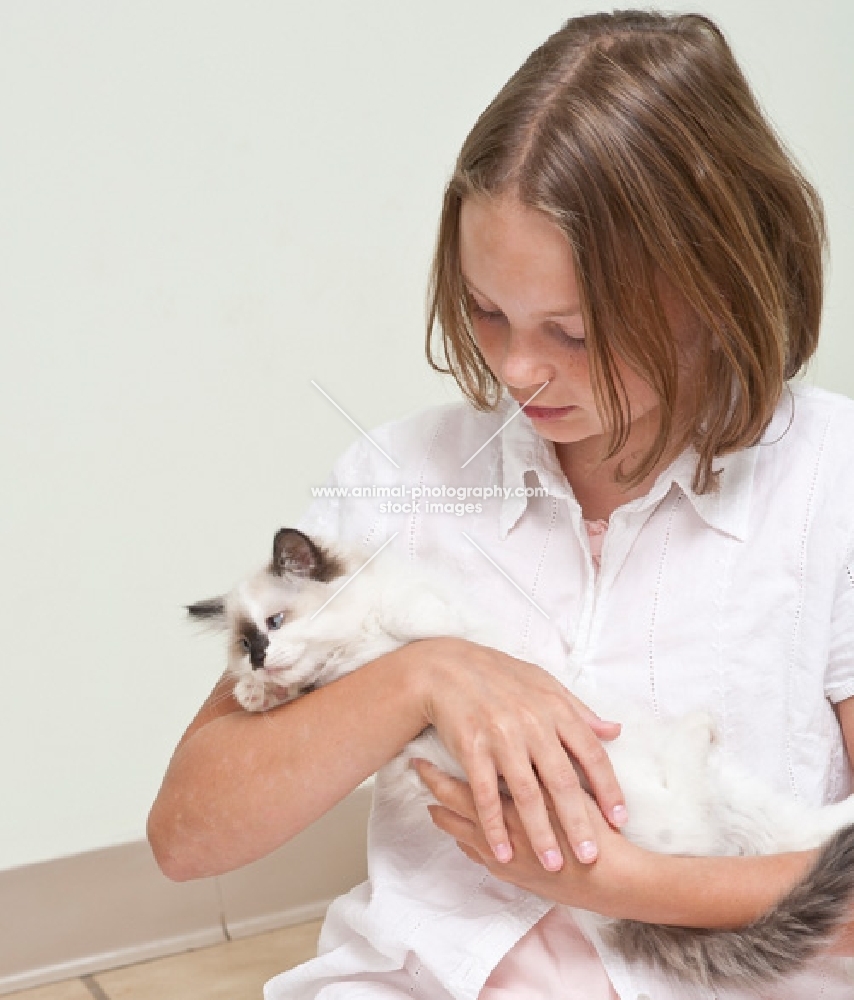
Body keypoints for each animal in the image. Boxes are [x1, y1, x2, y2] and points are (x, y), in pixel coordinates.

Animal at [189, 528, 854, 988]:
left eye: (276, 622)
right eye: (245, 643)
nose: (260, 658)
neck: (354, 653)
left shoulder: (429, 618)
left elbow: (423, 631)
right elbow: (308, 691)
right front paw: (257, 694)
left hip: (712, 802)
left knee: (774, 829)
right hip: (673, 813)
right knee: (741, 822)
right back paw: (708, 738)